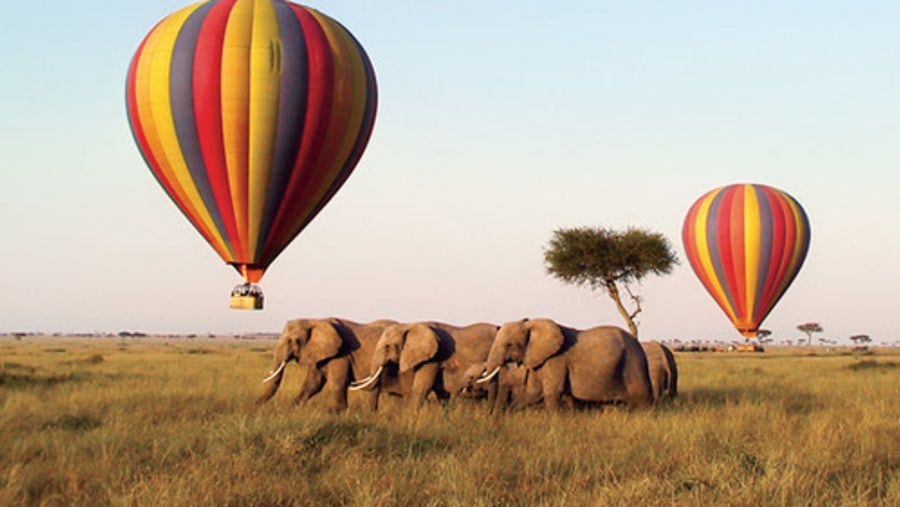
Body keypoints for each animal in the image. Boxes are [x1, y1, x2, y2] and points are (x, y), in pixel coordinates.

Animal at [253, 318, 394, 412]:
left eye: (292, 341)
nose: (254, 406)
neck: (314, 321)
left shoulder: (341, 354)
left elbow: (337, 383)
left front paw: (338, 413)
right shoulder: (319, 354)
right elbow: (313, 384)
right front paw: (292, 408)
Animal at [350, 324, 500, 410]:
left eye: (387, 347)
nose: (374, 413)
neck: (408, 326)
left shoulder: (434, 357)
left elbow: (420, 388)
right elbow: (440, 393)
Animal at [478, 320, 652, 410]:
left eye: (509, 345)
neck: (532, 324)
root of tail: (639, 345)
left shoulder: (556, 360)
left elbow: (552, 393)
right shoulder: (539, 359)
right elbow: (533, 392)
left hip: (633, 365)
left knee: (642, 403)